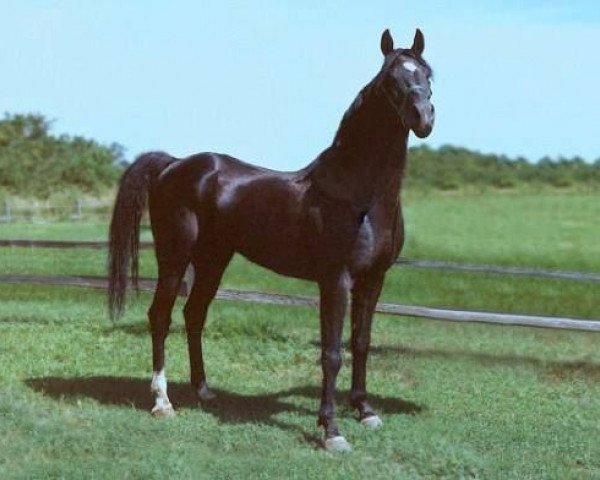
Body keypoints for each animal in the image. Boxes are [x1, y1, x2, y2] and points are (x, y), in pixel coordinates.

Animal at [108, 28, 434, 452]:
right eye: (389, 80)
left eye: (428, 73)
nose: (424, 118)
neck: (356, 194)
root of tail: (174, 164)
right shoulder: (336, 280)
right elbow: (332, 353)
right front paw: (331, 431)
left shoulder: (373, 279)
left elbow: (361, 343)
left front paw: (366, 412)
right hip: (174, 257)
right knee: (160, 316)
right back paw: (163, 403)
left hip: (213, 259)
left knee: (194, 315)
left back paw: (204, 391)